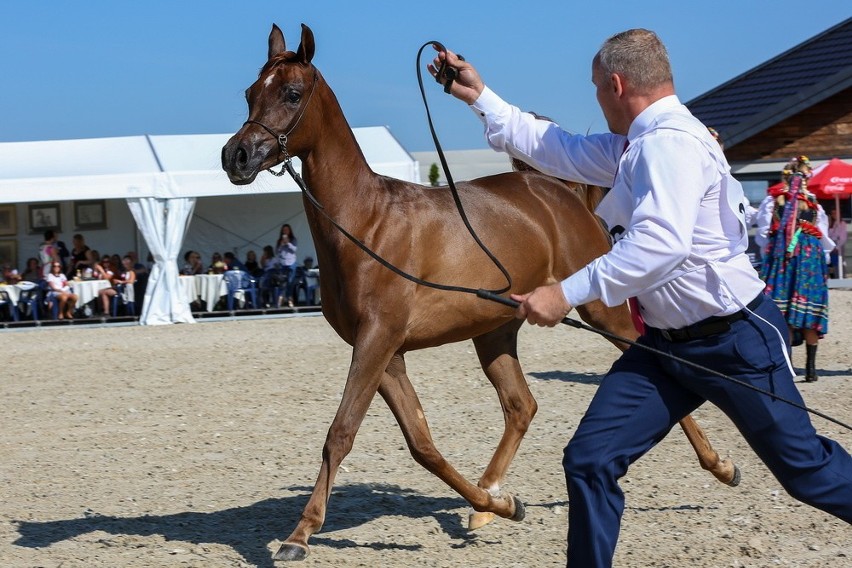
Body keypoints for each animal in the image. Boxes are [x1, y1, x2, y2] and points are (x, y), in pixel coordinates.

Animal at [223, 23, 736, 564]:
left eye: (291, 93)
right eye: (251, 93)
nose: (236, 156)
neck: (365, 224)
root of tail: (560, 192)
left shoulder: (377, 342)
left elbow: (340, 432)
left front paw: (299, 535)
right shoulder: (386, 354)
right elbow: (422, 443)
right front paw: (502, 504)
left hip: (603, 310)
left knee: (649, 363)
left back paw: (721, 465)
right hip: (494, 332)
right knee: (520, 406)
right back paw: (489, 499)